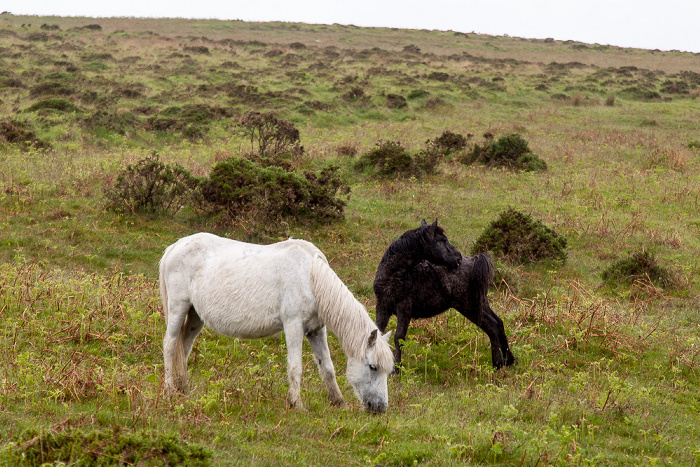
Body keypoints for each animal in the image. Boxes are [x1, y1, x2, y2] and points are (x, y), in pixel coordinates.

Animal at [161, 233, 396, 414]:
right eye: (373, 367)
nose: (380, 408)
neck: (311, 276)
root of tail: (175, 247)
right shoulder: (293, 326)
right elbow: (295, 367)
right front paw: (296, 404)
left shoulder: (316, 330)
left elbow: (327, 367)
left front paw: (338, 403)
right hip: (178, 308)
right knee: (170, 345)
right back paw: (170, 389)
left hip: (195, 316)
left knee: (184, 347)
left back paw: (184, 389)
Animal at [374, 220, 516, 372]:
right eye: (442, 240)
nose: (458, 257)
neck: (392, 275)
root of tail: (474, 261)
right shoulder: (382, 307)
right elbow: (378, 333)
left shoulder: (404, 309)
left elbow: (398, 338)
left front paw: (396, 369)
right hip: (480, 304)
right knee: (498, 322)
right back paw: (508, 360)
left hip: (469, 307)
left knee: (491, 326)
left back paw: (498, 363)